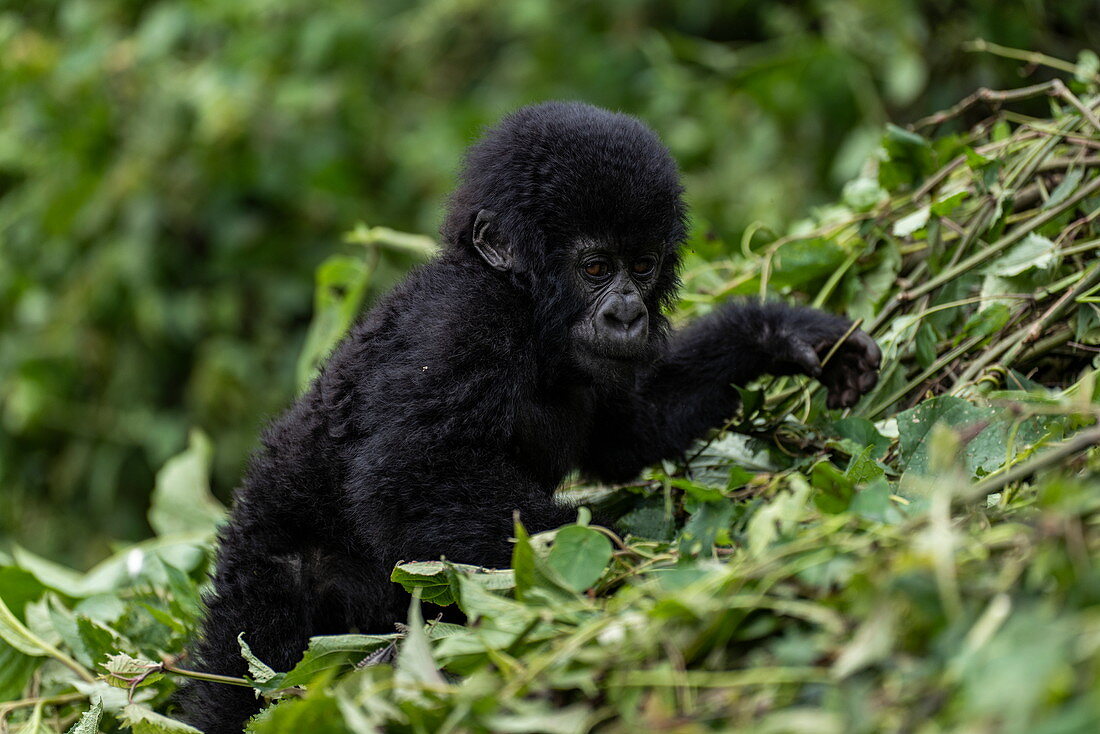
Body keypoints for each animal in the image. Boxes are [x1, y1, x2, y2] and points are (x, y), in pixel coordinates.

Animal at [184, 100, 880, 730]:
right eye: (596, 267)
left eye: (643, 265)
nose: (627, 315)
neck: (525, 309)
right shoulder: (461, 325)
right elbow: (407, 481)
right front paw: (623, 547)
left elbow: (632, 433)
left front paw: (784, 335)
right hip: (265, 602)